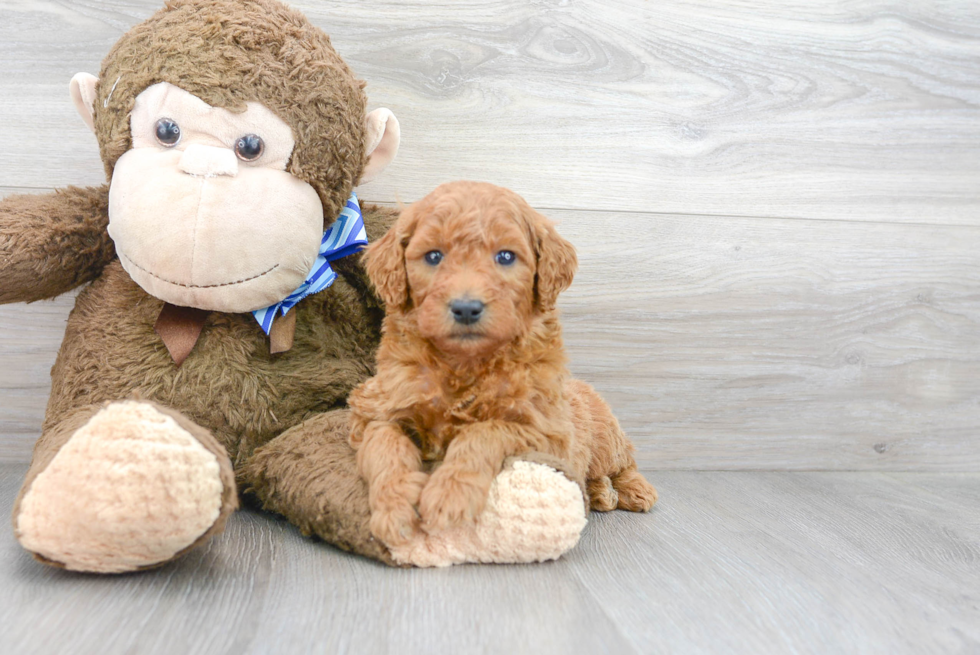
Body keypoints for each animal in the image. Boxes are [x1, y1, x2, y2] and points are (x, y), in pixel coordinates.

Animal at [348, 182, 656, 544]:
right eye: (434, 256)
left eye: (505, 256)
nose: (466, 308)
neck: (464, 365)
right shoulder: (376, 409)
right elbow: (386, 445)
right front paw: (395, 506)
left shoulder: (546, 433)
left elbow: (483, 432)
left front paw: (450, 494)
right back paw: (599, 493)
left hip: (606, 436)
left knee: (624, 462)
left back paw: (634, 490)